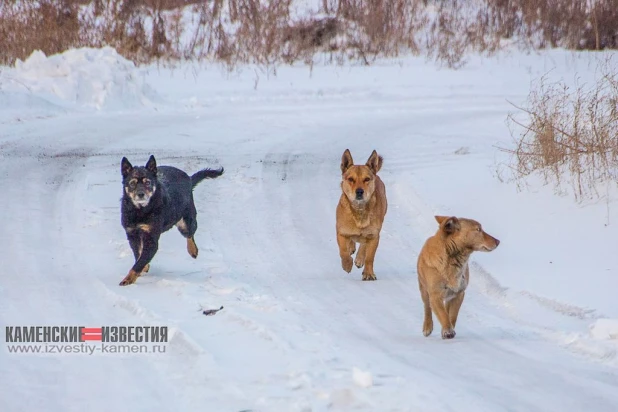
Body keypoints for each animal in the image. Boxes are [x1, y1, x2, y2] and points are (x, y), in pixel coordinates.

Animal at [119, 155, 223, 286]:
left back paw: (193, 250)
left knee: (190, 235)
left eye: (147, 182)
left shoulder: (151, 239)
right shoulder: (132, 233)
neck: (140, 211)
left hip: (186, 222)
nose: (140, 194)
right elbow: (138, 254)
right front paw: (144, 266)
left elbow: (139, 262)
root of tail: (189, 178)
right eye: (132, 183)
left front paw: (128, 279)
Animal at [336, 150, 384, 282]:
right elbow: (343, 251)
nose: (359, 191)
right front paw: (347, 264)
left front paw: (368, 273)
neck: (359, 210)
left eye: (367, 179)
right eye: (350, 179)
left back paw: (359, 258)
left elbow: (369, 257)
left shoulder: (374, 236)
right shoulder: (341, 232)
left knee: (363, 245)